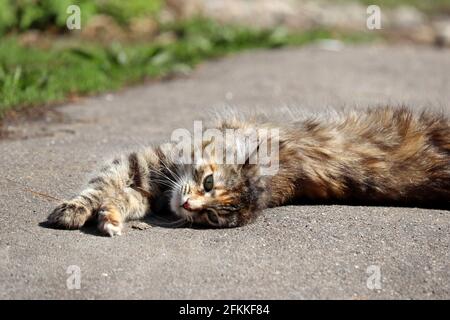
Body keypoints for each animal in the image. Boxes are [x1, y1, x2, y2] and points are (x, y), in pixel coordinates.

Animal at [47, 106, 448, 236]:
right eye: (208, 182)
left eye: (210, 217)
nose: (189, 206)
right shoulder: (141, 165)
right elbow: (100, 188)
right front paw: (76, 210)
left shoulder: (143, 184)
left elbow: (117, 198)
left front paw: (109, 219)